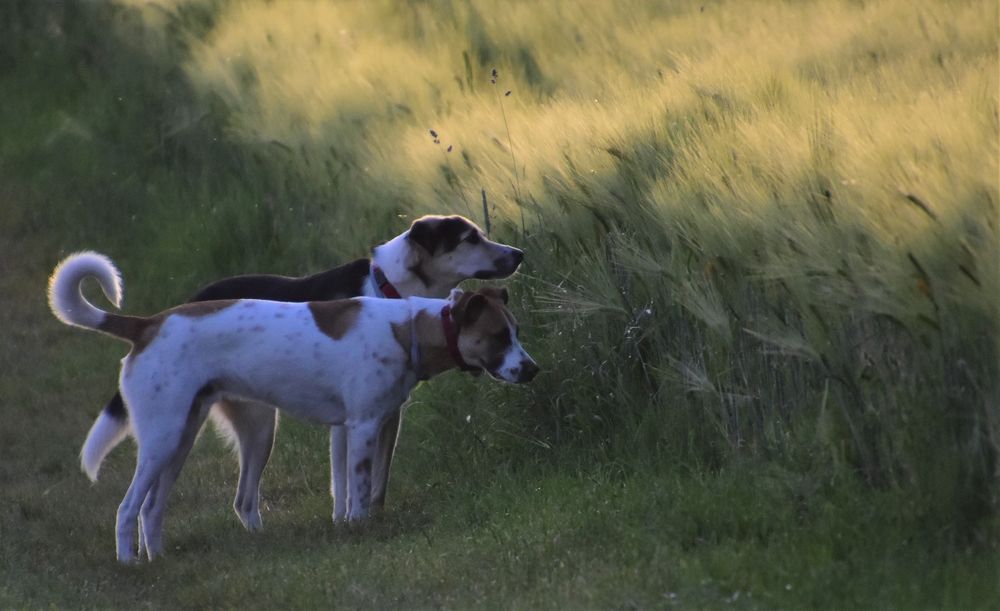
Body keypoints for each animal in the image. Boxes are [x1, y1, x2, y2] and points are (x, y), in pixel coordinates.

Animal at [50, 252, 536, 564]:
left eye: (516, 331)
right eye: (498, 336)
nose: (531, 369)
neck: (409, 328)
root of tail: (149, 323)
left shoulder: (372, 426)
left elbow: (363, 488)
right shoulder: (362, 426)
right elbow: (358, 492)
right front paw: (360, 531)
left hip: (189, 437)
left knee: (153, 509)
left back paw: (159, 558)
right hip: (164, 438)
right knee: (127, 509)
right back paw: (130, 563)